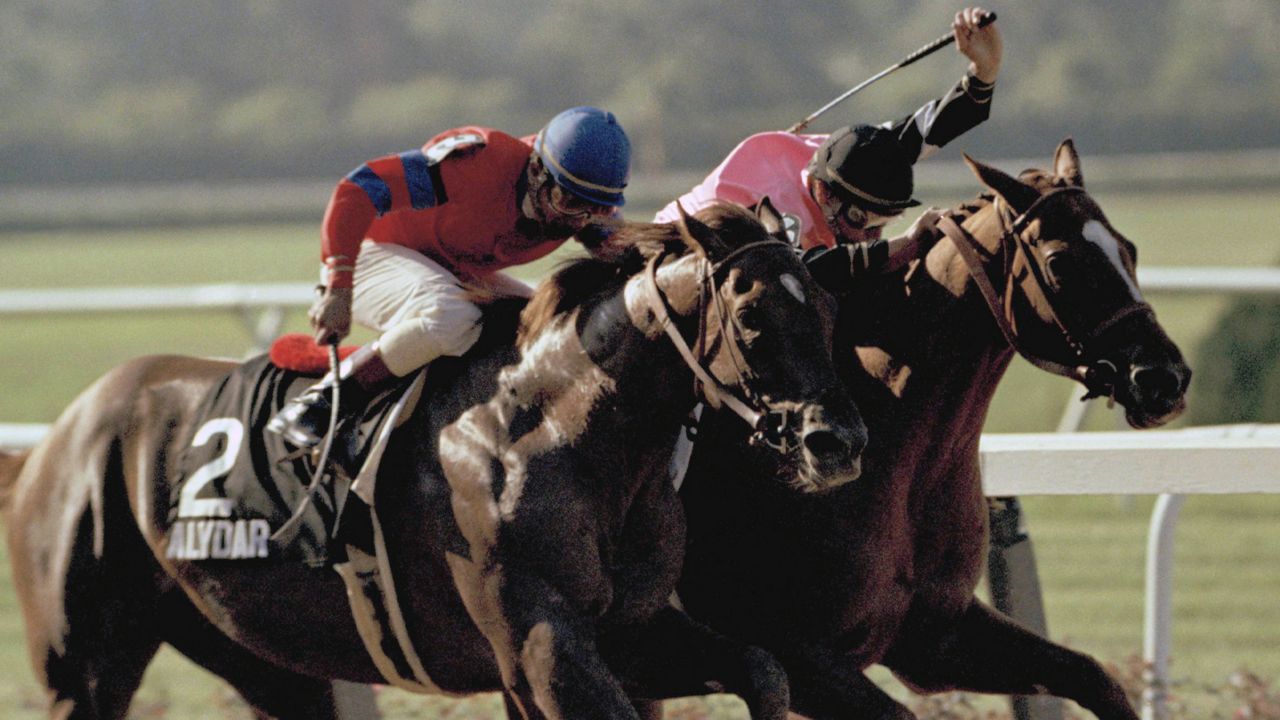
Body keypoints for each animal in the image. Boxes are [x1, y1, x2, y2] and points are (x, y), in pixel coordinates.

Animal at [2, 199, 870, 717]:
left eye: (830, 306)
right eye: (753, 316)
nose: (838, 440)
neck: (564, 436)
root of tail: (57, 437)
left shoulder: (628, 630)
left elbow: (763, 668)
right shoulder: (543, 645)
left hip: (264, 658)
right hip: (84, 663)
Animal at [675, 141, 1182, 717]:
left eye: (1128, 249)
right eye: (1061, 262)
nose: (1165, 378)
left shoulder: (936, 637)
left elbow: (1093, 676)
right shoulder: (791, 651)